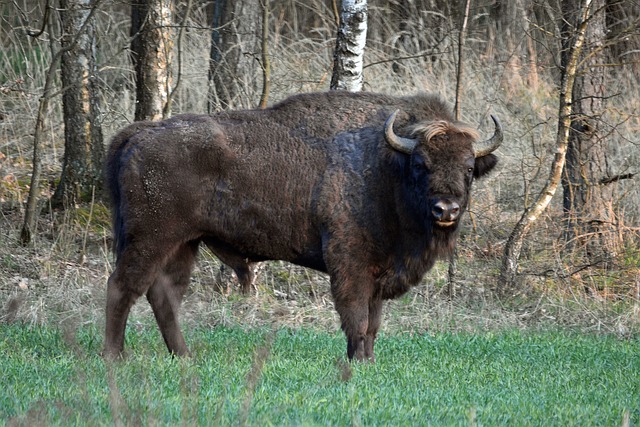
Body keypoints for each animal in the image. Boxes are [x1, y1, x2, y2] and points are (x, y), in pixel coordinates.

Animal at [105, 90, 502, 362]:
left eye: (469, 169)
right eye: (421, 164)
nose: (446, 209)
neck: (387, 165)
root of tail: (138, 133)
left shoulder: (378, 272)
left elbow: (373, 323)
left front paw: (368, 360)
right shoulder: (351, 264)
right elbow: (356, 317)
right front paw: (357, 361)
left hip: (183, 244)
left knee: (164, 296)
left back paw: (184, 356)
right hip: (151, 238)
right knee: (123, 287)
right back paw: (115, 356)